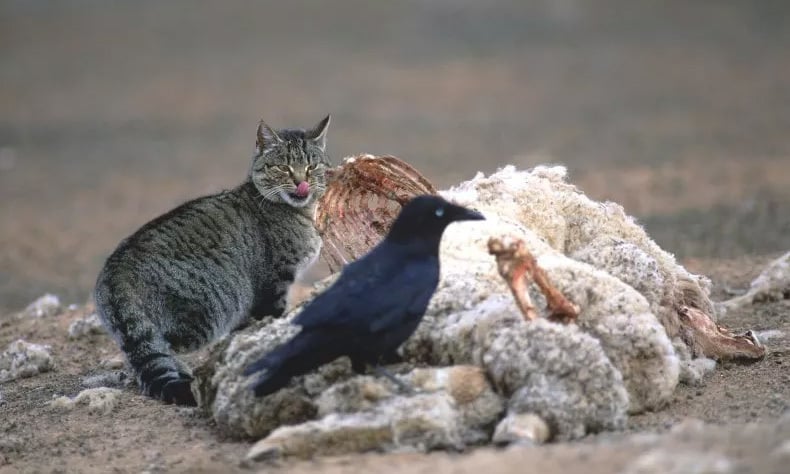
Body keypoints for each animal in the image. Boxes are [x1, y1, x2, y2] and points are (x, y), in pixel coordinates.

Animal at [94, 115, 332, 404]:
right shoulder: (275, 283)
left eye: (311, 166)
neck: (302, 212)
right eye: (283, 167)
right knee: (164, 348)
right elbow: (271, 319)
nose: (301, 182)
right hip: (205, 312)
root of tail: (116, 270)